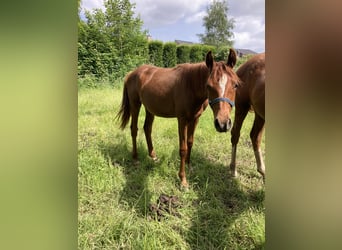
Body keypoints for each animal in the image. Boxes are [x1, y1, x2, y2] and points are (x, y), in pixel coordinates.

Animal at [116, 49, 239, 188]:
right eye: (208, 86)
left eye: (235, 85)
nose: (223, 124)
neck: (190, 85)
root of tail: (131, 74)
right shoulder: (182, 120)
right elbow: (183, 148)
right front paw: (183, 180)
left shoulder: (195, 119)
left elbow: (190, 142)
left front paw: (189, 166)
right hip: (135, 104)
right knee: (134, 129)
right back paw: (135, 158)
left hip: (149, 108)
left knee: (147, 128)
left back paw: (153, 156)